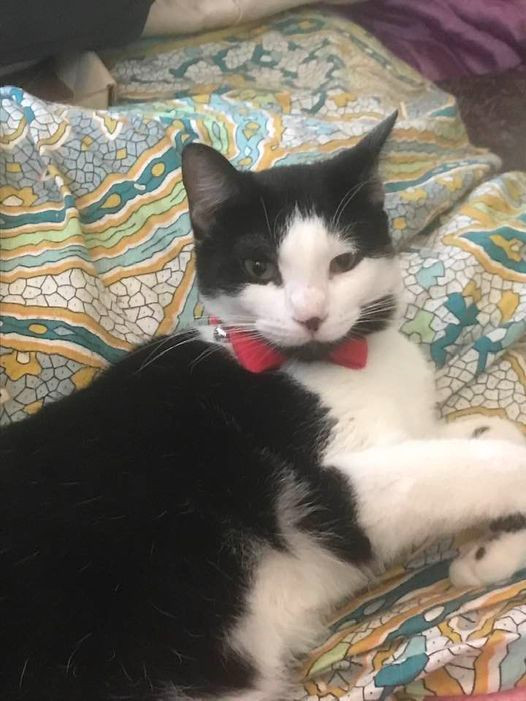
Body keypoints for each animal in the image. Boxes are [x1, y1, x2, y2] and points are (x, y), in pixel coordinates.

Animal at [1, 115, 526, 700]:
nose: (310, 315)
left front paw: (489, 552)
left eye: (344, 262)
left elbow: (485, 435)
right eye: (258, 265)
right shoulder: (335, 494)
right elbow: (464, 469)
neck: (346, 362)